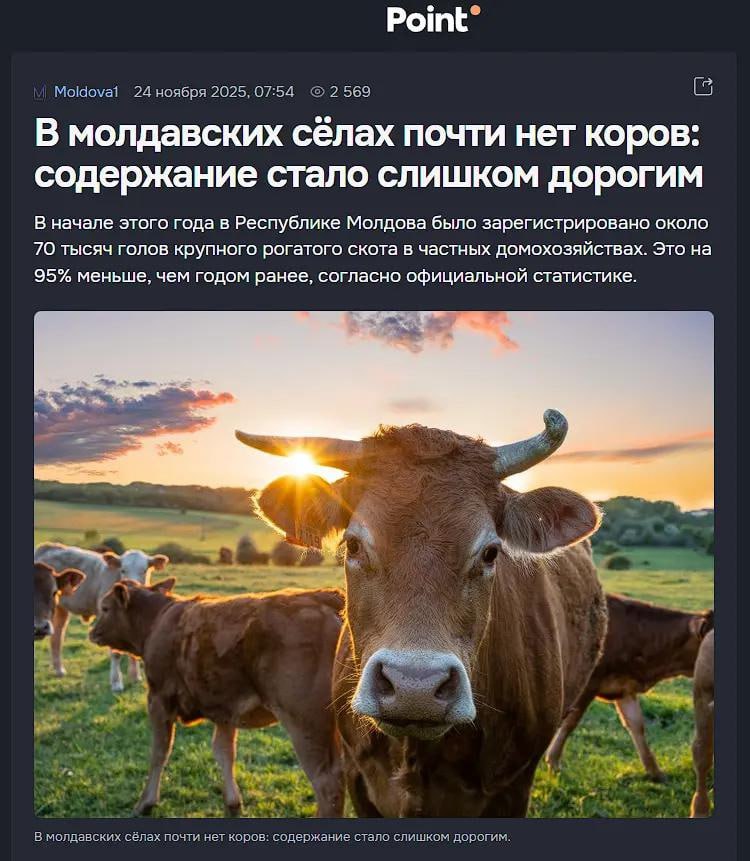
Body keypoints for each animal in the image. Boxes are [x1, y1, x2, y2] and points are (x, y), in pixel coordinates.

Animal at [33, 542, 168, 691]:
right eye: (123, 570)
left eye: (144, 571)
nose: (132, 585)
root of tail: (47, 546)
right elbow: (115, 652)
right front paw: (116, 683)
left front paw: (135, 677)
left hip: (60, 608)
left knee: (57, 636)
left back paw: (59, 670)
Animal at [89, 578, 345, 817]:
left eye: (105, 608)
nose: (92, 632)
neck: (157, 620)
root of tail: (322, 597)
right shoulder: (225, 708)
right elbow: (224, 752)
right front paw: (233, 803)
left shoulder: (158, 700)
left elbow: (159, 752)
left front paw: (145, 802)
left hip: (306, 724)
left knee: (328, 784)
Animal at [545, 594, 714, 781]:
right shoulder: (589, 684)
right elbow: (570, 722)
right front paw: (553, 761)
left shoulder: (624, 688)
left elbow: (637, 726)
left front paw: (655, 772)